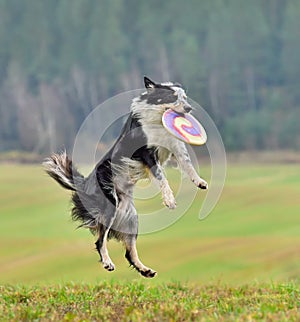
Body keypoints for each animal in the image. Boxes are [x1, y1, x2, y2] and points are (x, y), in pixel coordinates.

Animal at [44, 76, 207, 278]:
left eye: (184, 97)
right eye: (172, 97)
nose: (189, 109)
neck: (157, 119)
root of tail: (85, 184)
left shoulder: (175, 146)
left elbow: (188, 164)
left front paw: (199, 182)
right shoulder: (147, 154)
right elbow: (161, 177)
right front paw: (169, 200)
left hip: (131, 218)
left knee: (129, 251)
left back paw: (145, 270)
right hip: (109, 207)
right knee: (100, 240)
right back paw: (108, 263)